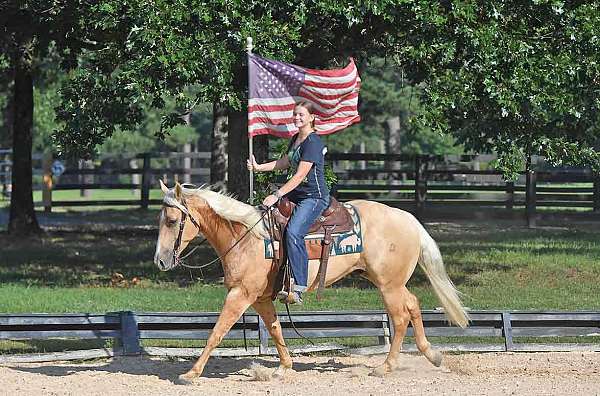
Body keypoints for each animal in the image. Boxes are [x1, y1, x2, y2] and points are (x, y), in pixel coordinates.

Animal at [154, 182, 468, 384]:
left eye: (172, 221)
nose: (160, 261)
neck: (246, 238)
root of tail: (409, 219)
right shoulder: (260, 298)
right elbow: (276, 329)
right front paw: (284, 367)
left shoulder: (240, 294)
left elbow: (216, 332)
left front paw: (191, 374)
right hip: (389, 282)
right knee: (413, 305)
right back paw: (432, 355)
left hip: (388, 285)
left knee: (401, 317)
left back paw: (385, 366)